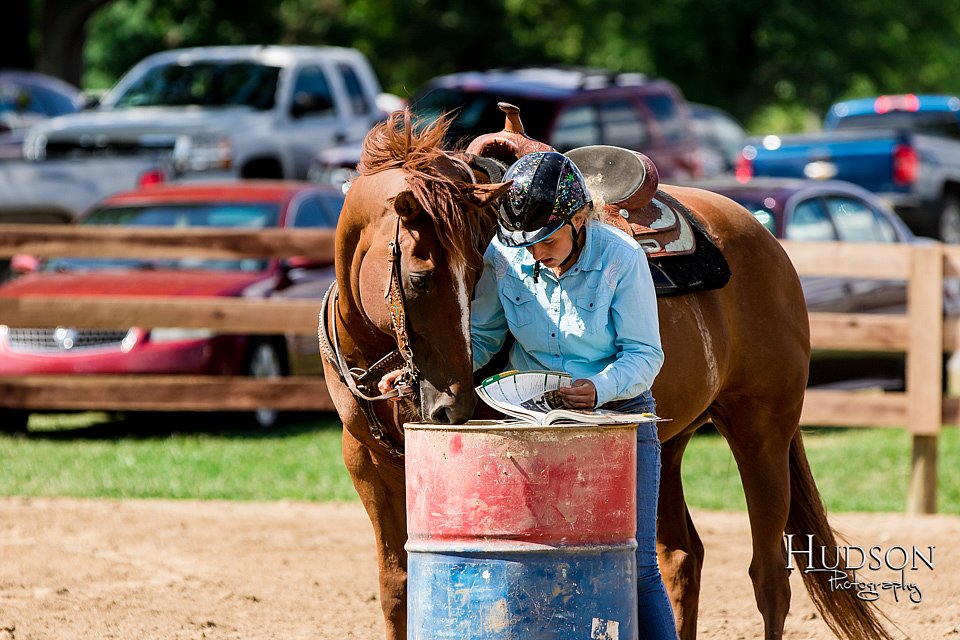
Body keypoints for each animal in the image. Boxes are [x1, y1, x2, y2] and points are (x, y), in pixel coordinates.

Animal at [320, 111, 892, 640]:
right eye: (419, 279)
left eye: (481, 272)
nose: (451, 407)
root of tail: (765, 240)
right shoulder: (366, 465)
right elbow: (397, 587)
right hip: (669, 442)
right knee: (680, 559)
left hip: (762, 433)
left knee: (768, 575)